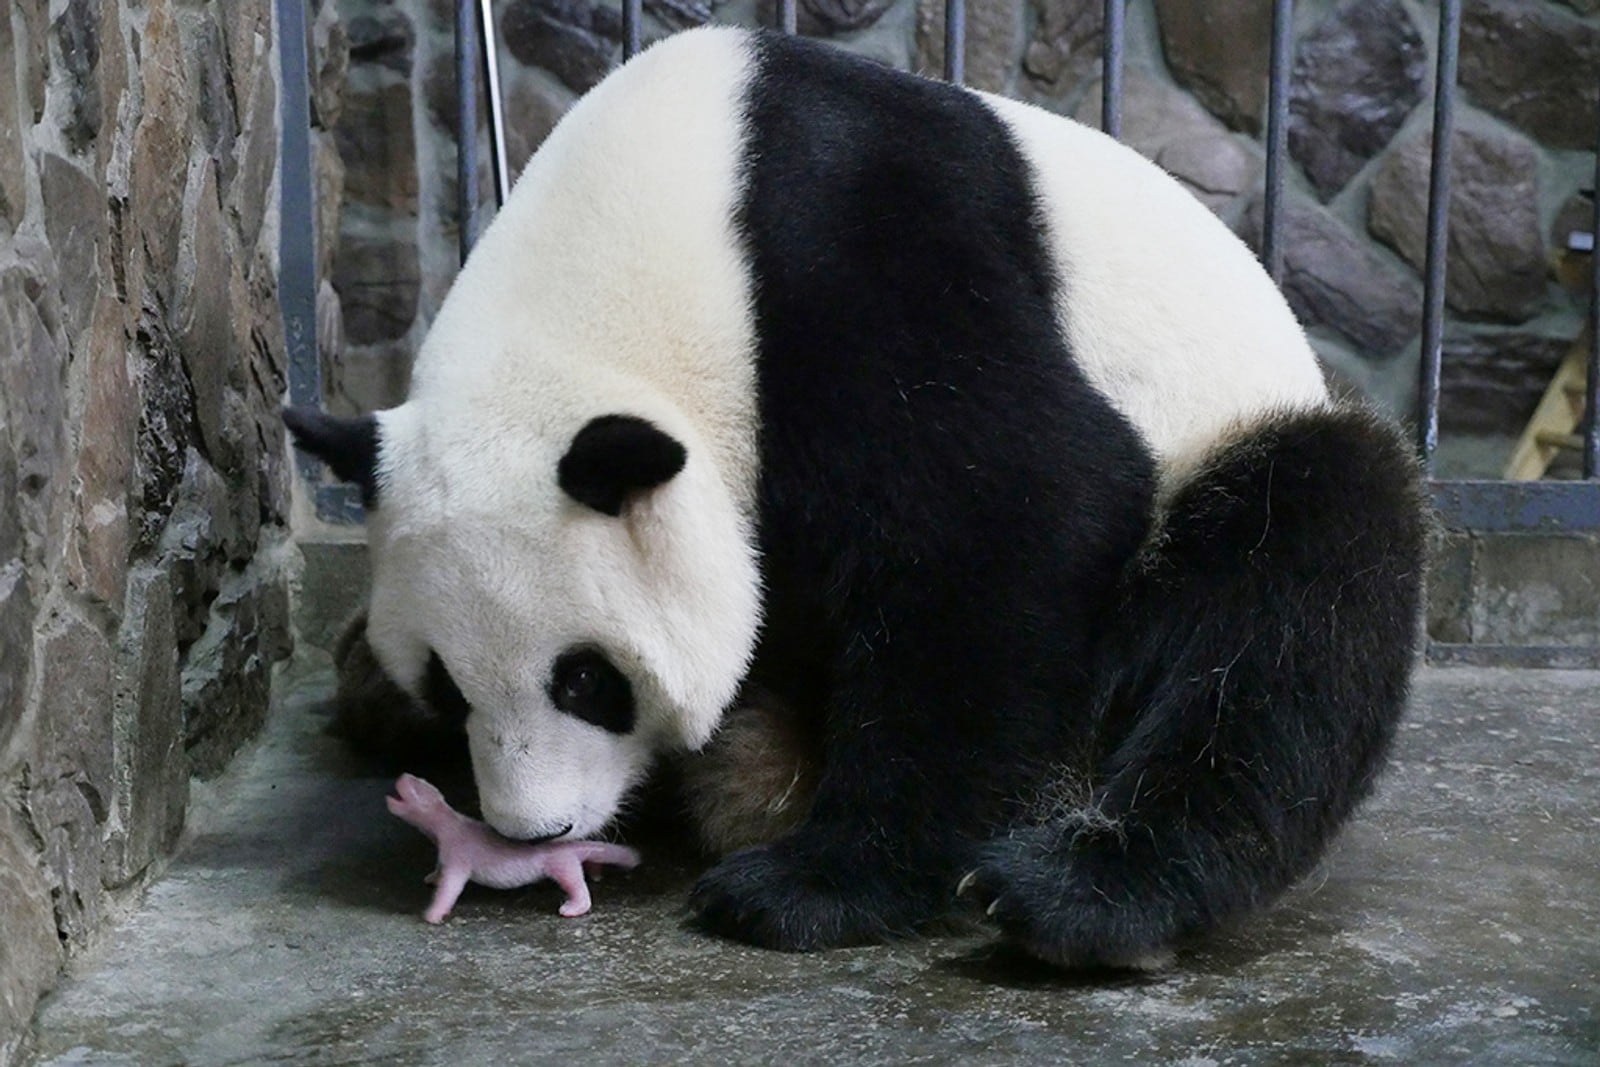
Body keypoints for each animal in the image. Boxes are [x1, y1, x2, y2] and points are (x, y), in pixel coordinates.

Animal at [288, 27, 1427, 966]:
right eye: (448, 683)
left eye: (585, 680)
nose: (537, 831)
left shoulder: (855, 255)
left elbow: (1017, 514)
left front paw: (812, 887)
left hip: (1233, 443)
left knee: (1298, 585)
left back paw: (1081, 895)